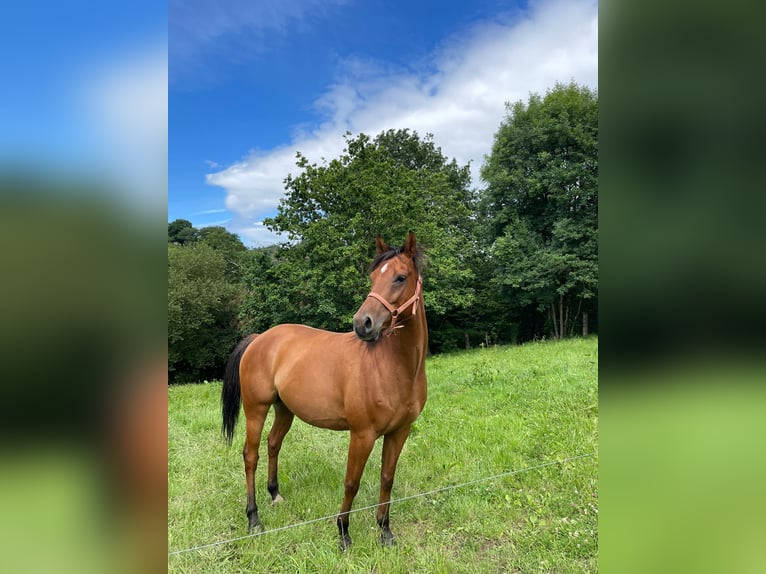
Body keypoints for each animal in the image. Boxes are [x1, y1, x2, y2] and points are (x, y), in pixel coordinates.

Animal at [222, 232, 428, 552]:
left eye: (400, 277)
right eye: (372, 277)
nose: (362, 324)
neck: (394, 367)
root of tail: (259, 339)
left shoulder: (399, 432)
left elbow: (387, 479)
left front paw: (385, 531)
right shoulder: (362, 435)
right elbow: (351, 482)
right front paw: (343, 533)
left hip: (284, 410)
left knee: (273, 444)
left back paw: (275, 495)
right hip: (256, 409)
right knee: (250, 455)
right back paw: (254, 519)